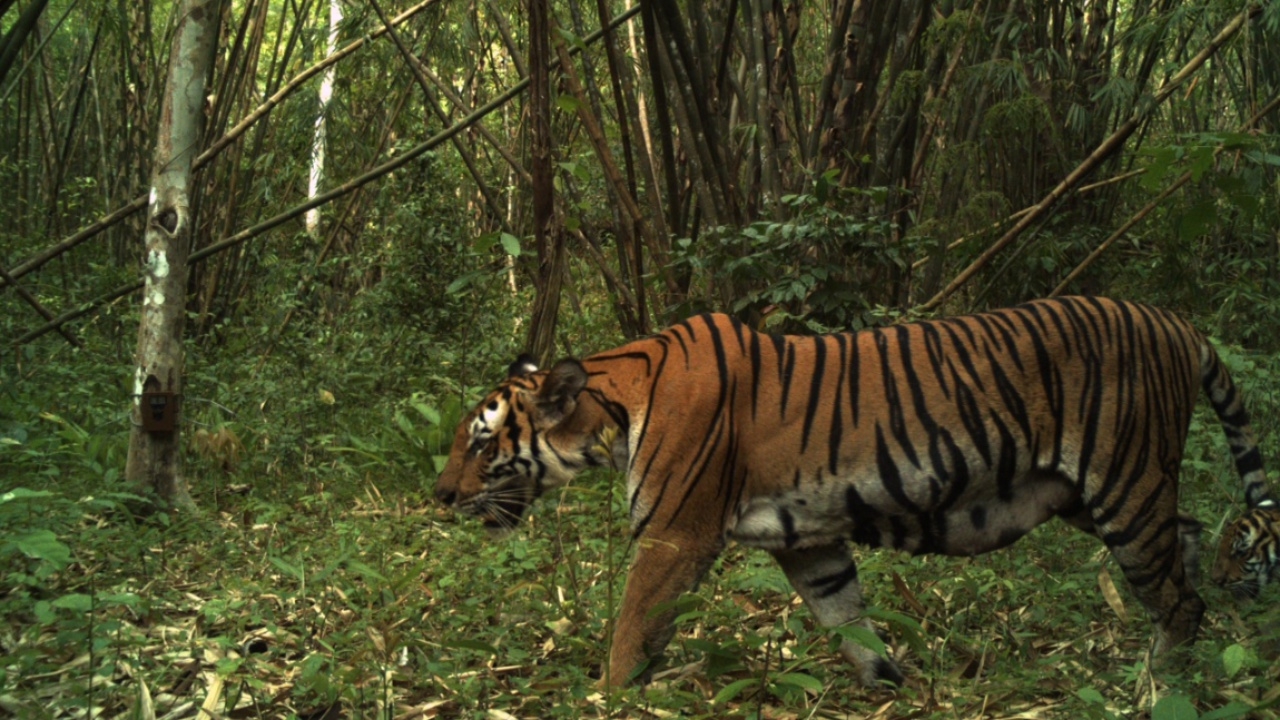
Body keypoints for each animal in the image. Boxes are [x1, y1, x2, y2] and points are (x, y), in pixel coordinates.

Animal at [435, 295, 1274, 681]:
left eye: (480, 440)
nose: (439, 496)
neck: (615, 409)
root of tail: (1174, 320)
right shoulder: (809, 541)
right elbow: (848, 617)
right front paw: (888, 682)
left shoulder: (674, 537)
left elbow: (632, 628)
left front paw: (608, 694)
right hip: (1090, 497)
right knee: (1189, 539)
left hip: (1124, 487)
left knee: (1182, 597)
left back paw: (1159, 675)